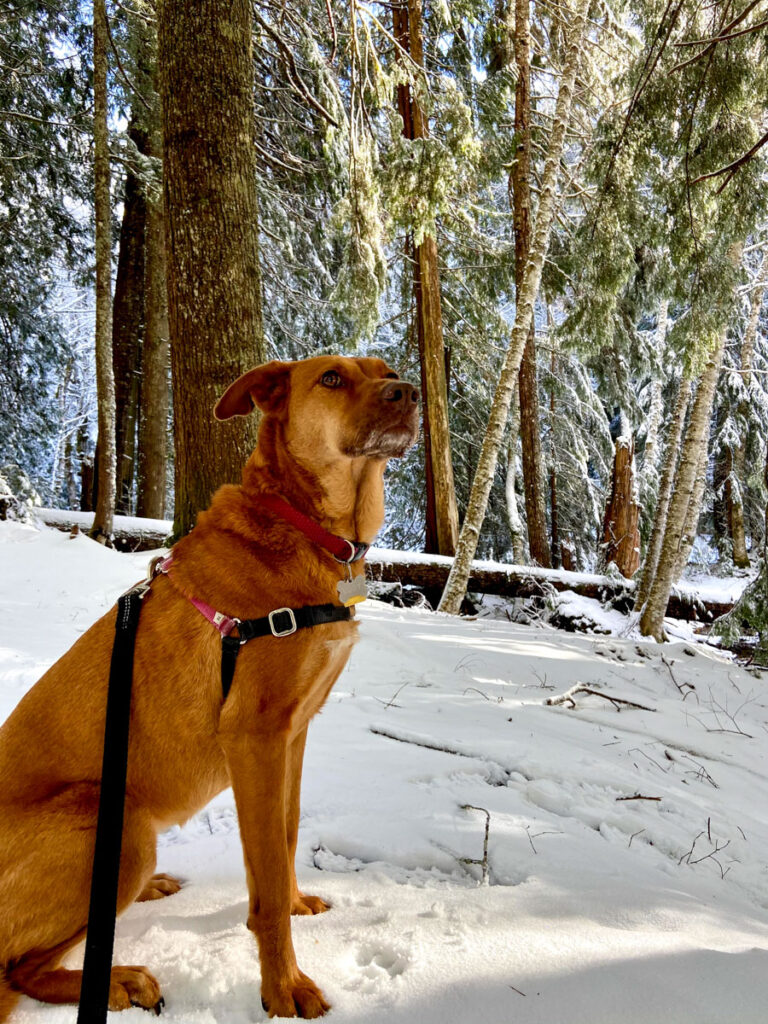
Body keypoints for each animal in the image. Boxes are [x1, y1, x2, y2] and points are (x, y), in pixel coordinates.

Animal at [0, 354, 421, 1015]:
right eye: (331, 378)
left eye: (387, 369)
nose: (409, 394)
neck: (303, 525)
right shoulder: (254, 736)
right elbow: (266, 880)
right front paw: (283, 989)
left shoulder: (292, 735)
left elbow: (283, 840)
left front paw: (295, 903)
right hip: (119, 828)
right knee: (20, 970)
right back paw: (119, 979)